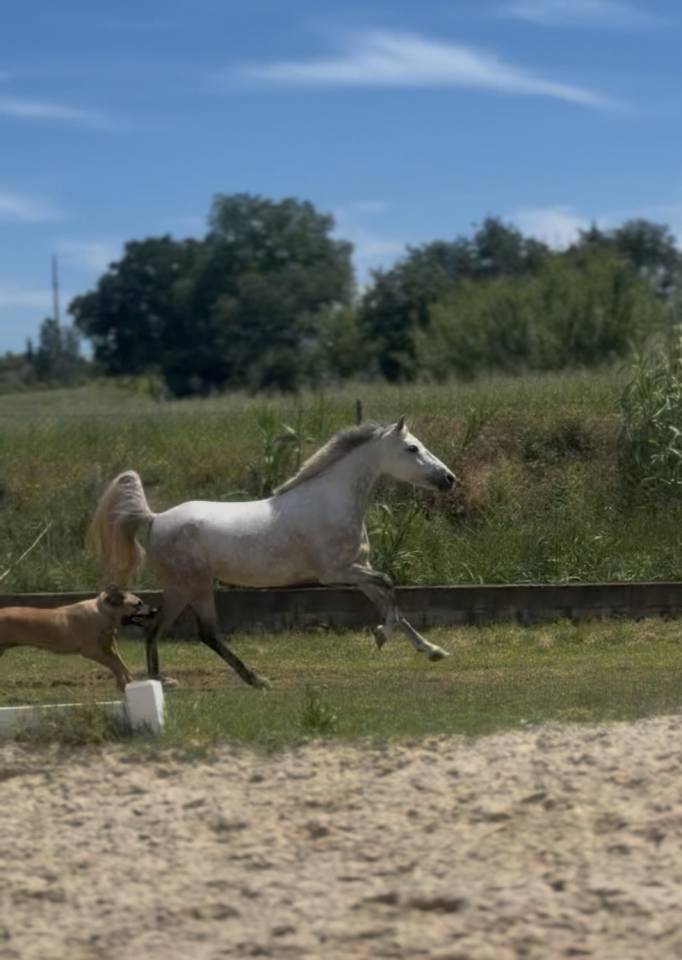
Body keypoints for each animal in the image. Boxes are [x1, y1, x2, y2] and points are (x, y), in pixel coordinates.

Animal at [88, 417, 457, 688]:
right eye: (412, 447)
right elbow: (390, 584)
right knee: (186, 631)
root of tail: (154, 518)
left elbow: (391, 601)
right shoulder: (337, 572)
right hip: (190, 585)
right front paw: (381, 636)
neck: (332, 501)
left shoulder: (357, 570)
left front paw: (434, 651)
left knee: (187, 632)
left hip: (190, 587)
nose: (449, 479)